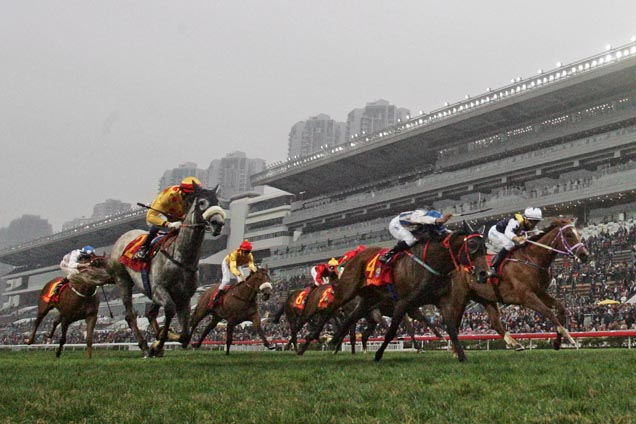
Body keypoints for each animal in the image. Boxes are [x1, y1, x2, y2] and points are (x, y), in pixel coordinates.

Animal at [110, 186, 225, 358]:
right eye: (202, 202)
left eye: (217, 201)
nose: (218, 223)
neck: (180, 257)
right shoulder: (159, 289)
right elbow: (170, 310)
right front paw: (157, 343)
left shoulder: (185, 297)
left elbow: (185, 335)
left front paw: (160, 341)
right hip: (123, 280)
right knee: (130, 315)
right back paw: (145, 346)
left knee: (150, 314)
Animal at [300, 220, 492, 362]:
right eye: (472, 244)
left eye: (485, 247)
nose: (485, 273)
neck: (433, 263)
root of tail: (354, 256)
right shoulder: (404, 302)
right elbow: (392, 331)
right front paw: (378, 354)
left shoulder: (441, 301)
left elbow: (451, 329)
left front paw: (462, 356)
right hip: (347, 291)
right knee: (331, 310)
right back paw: (308, 342)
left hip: (368, 301)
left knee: (351, 317)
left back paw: (334, 340)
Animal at [450, 217, 588, 350]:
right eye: (569, 234)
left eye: (578, 234)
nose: (584, 255)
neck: (531, 259)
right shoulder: (526, 296)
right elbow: (548, 312)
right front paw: (570, 339)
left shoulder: (540, 292)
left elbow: (561, 309)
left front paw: (558, 342)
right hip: (460, 298)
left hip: (486, 298)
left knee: (495, 323)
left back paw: (515, 344)